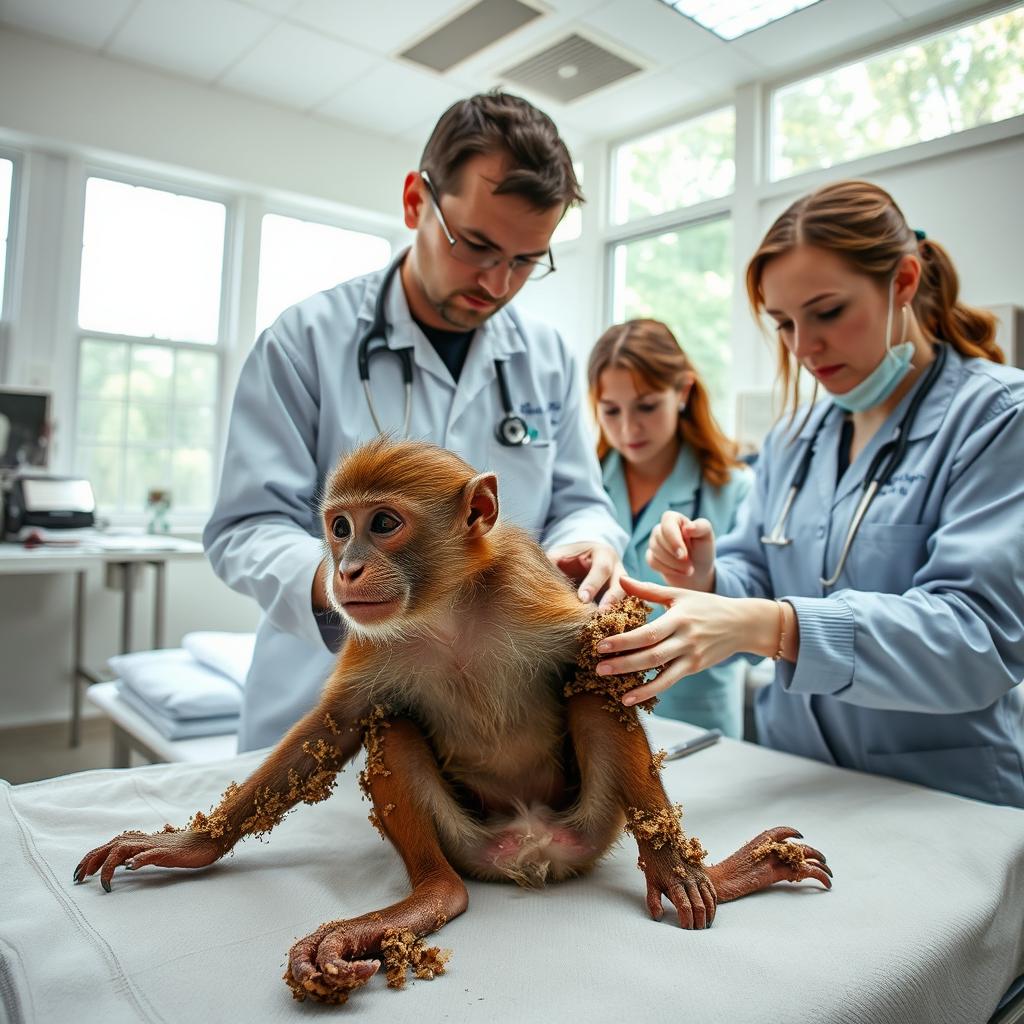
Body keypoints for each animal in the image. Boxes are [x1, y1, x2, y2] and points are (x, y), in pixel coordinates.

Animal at [74, 437, 831, 1006]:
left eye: (383, 524)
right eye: (339, 527)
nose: (345, 570)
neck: (447, 614)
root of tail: (533, 848)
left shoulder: (533, 595)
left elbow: (602, 673)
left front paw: (677, 867)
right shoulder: (373, 639)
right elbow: (336, 727)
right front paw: (188, 846)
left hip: (589, 828)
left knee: (588, 699)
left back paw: (714, 873)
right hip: (470, 842)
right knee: (393, 730)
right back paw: (421, 902)